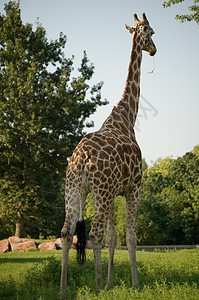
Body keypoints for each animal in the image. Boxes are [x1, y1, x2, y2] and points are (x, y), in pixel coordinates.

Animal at [59, 12, 156, 294]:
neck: (127, 118)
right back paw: (96, 285)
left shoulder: (114, 192)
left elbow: (114, 238)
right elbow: (130, 237)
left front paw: (113, 282)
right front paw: (134, 283)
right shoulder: (134, 187)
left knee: (67, 232)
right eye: (152, 32)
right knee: (94, 235)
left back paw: (63, 288)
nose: (154, 50)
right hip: (99, 192)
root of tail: (81, 159)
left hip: (74, 189)